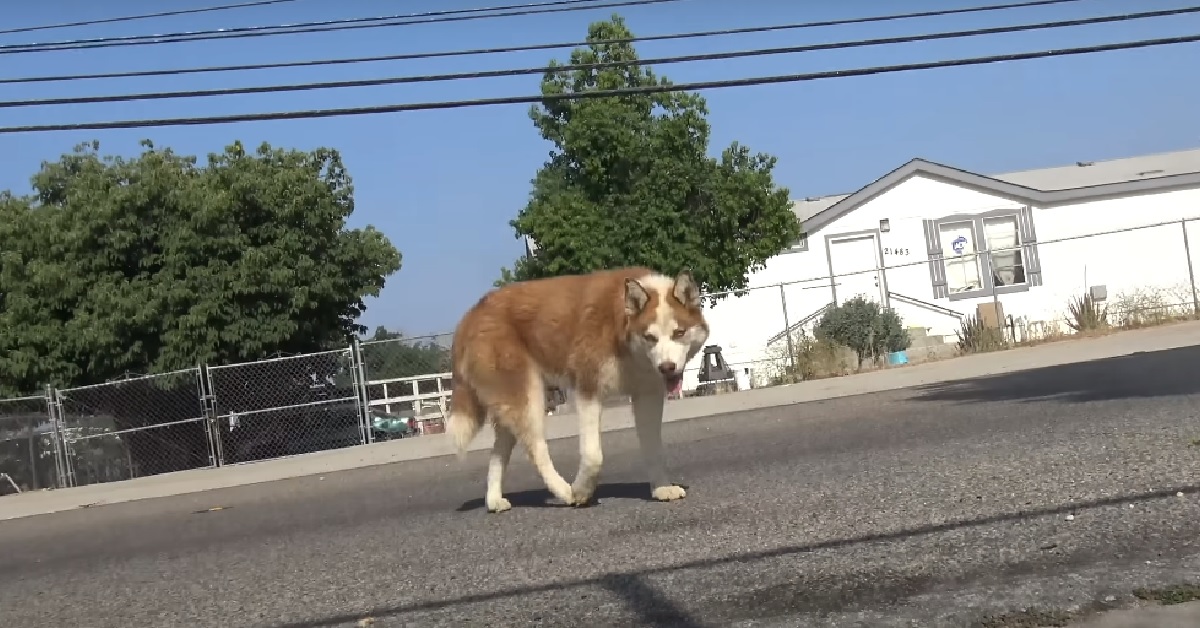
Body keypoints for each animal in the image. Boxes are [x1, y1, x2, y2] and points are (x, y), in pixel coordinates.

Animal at [451, 267, 710, 513]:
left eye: (679, 333)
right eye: (650, 337)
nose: (667, 367)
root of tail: (471, 313)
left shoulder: (648, 395)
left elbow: (653, 447)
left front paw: (662, 488)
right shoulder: (588, 389)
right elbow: (593, 455)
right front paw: (581, 491)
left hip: (510, 401)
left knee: (498, 453)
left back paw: (494, 500)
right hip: (528, 397)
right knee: (537, 449)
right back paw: (565, 492)